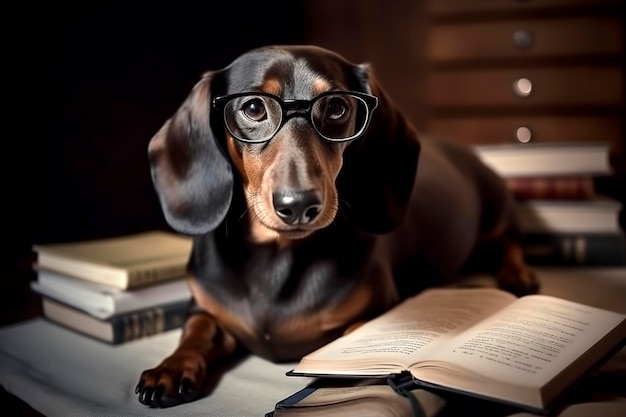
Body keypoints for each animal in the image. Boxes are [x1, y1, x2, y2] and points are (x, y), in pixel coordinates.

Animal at [135, 45, 536, 406]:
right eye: (252, 107)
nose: (299, 205)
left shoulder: (376, 312)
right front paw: (170, 368)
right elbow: (196, 330)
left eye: (337, 107)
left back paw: (518, 275)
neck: (275, 256)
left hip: (497, 209)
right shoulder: (202, 308)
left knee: (511, 239)